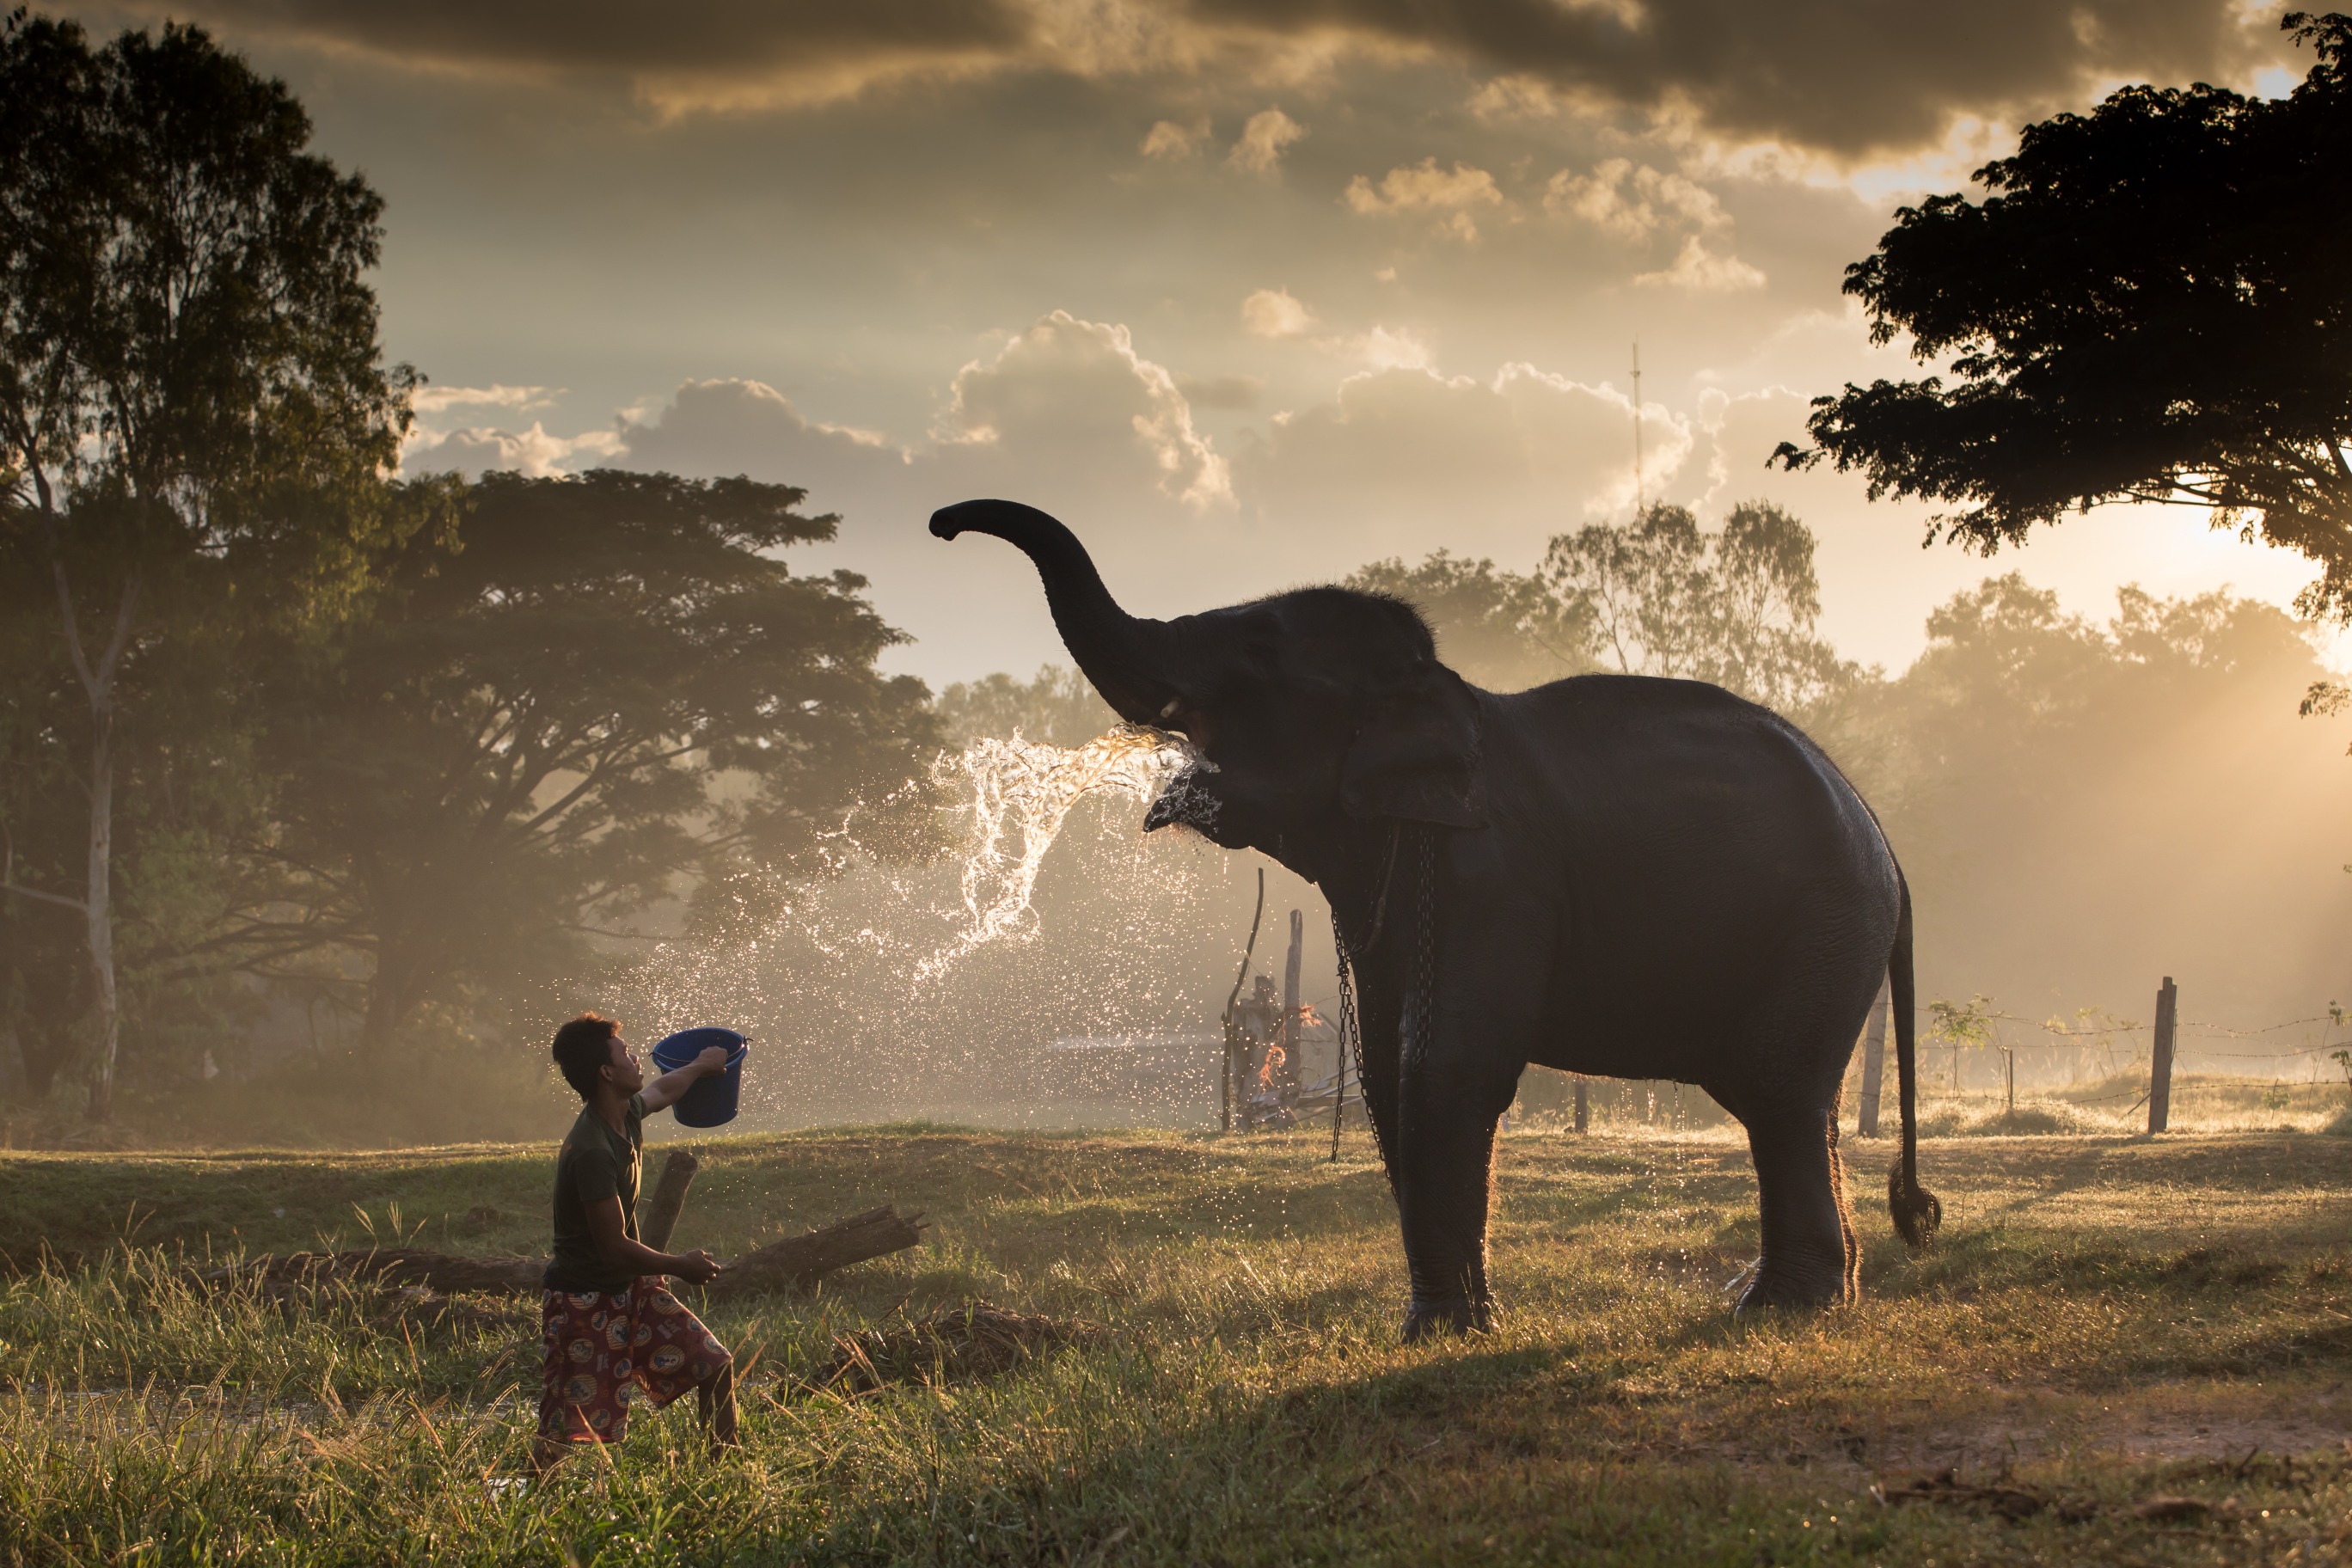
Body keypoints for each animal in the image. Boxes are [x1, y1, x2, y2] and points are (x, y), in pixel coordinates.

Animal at [930, 498, 1942, 1339]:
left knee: (1774, 1089)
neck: (1439, 693)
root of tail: (1888, 845)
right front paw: (1444, 1324)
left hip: (1824, 926)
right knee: (1791, 1099)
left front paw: (1440, 1334)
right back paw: (1802, 1298)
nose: (941, 526)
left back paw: (1781, 1309)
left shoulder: (1495, 875)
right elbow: (1387, 1069)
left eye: (1257, 650)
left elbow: (1445, 1063)